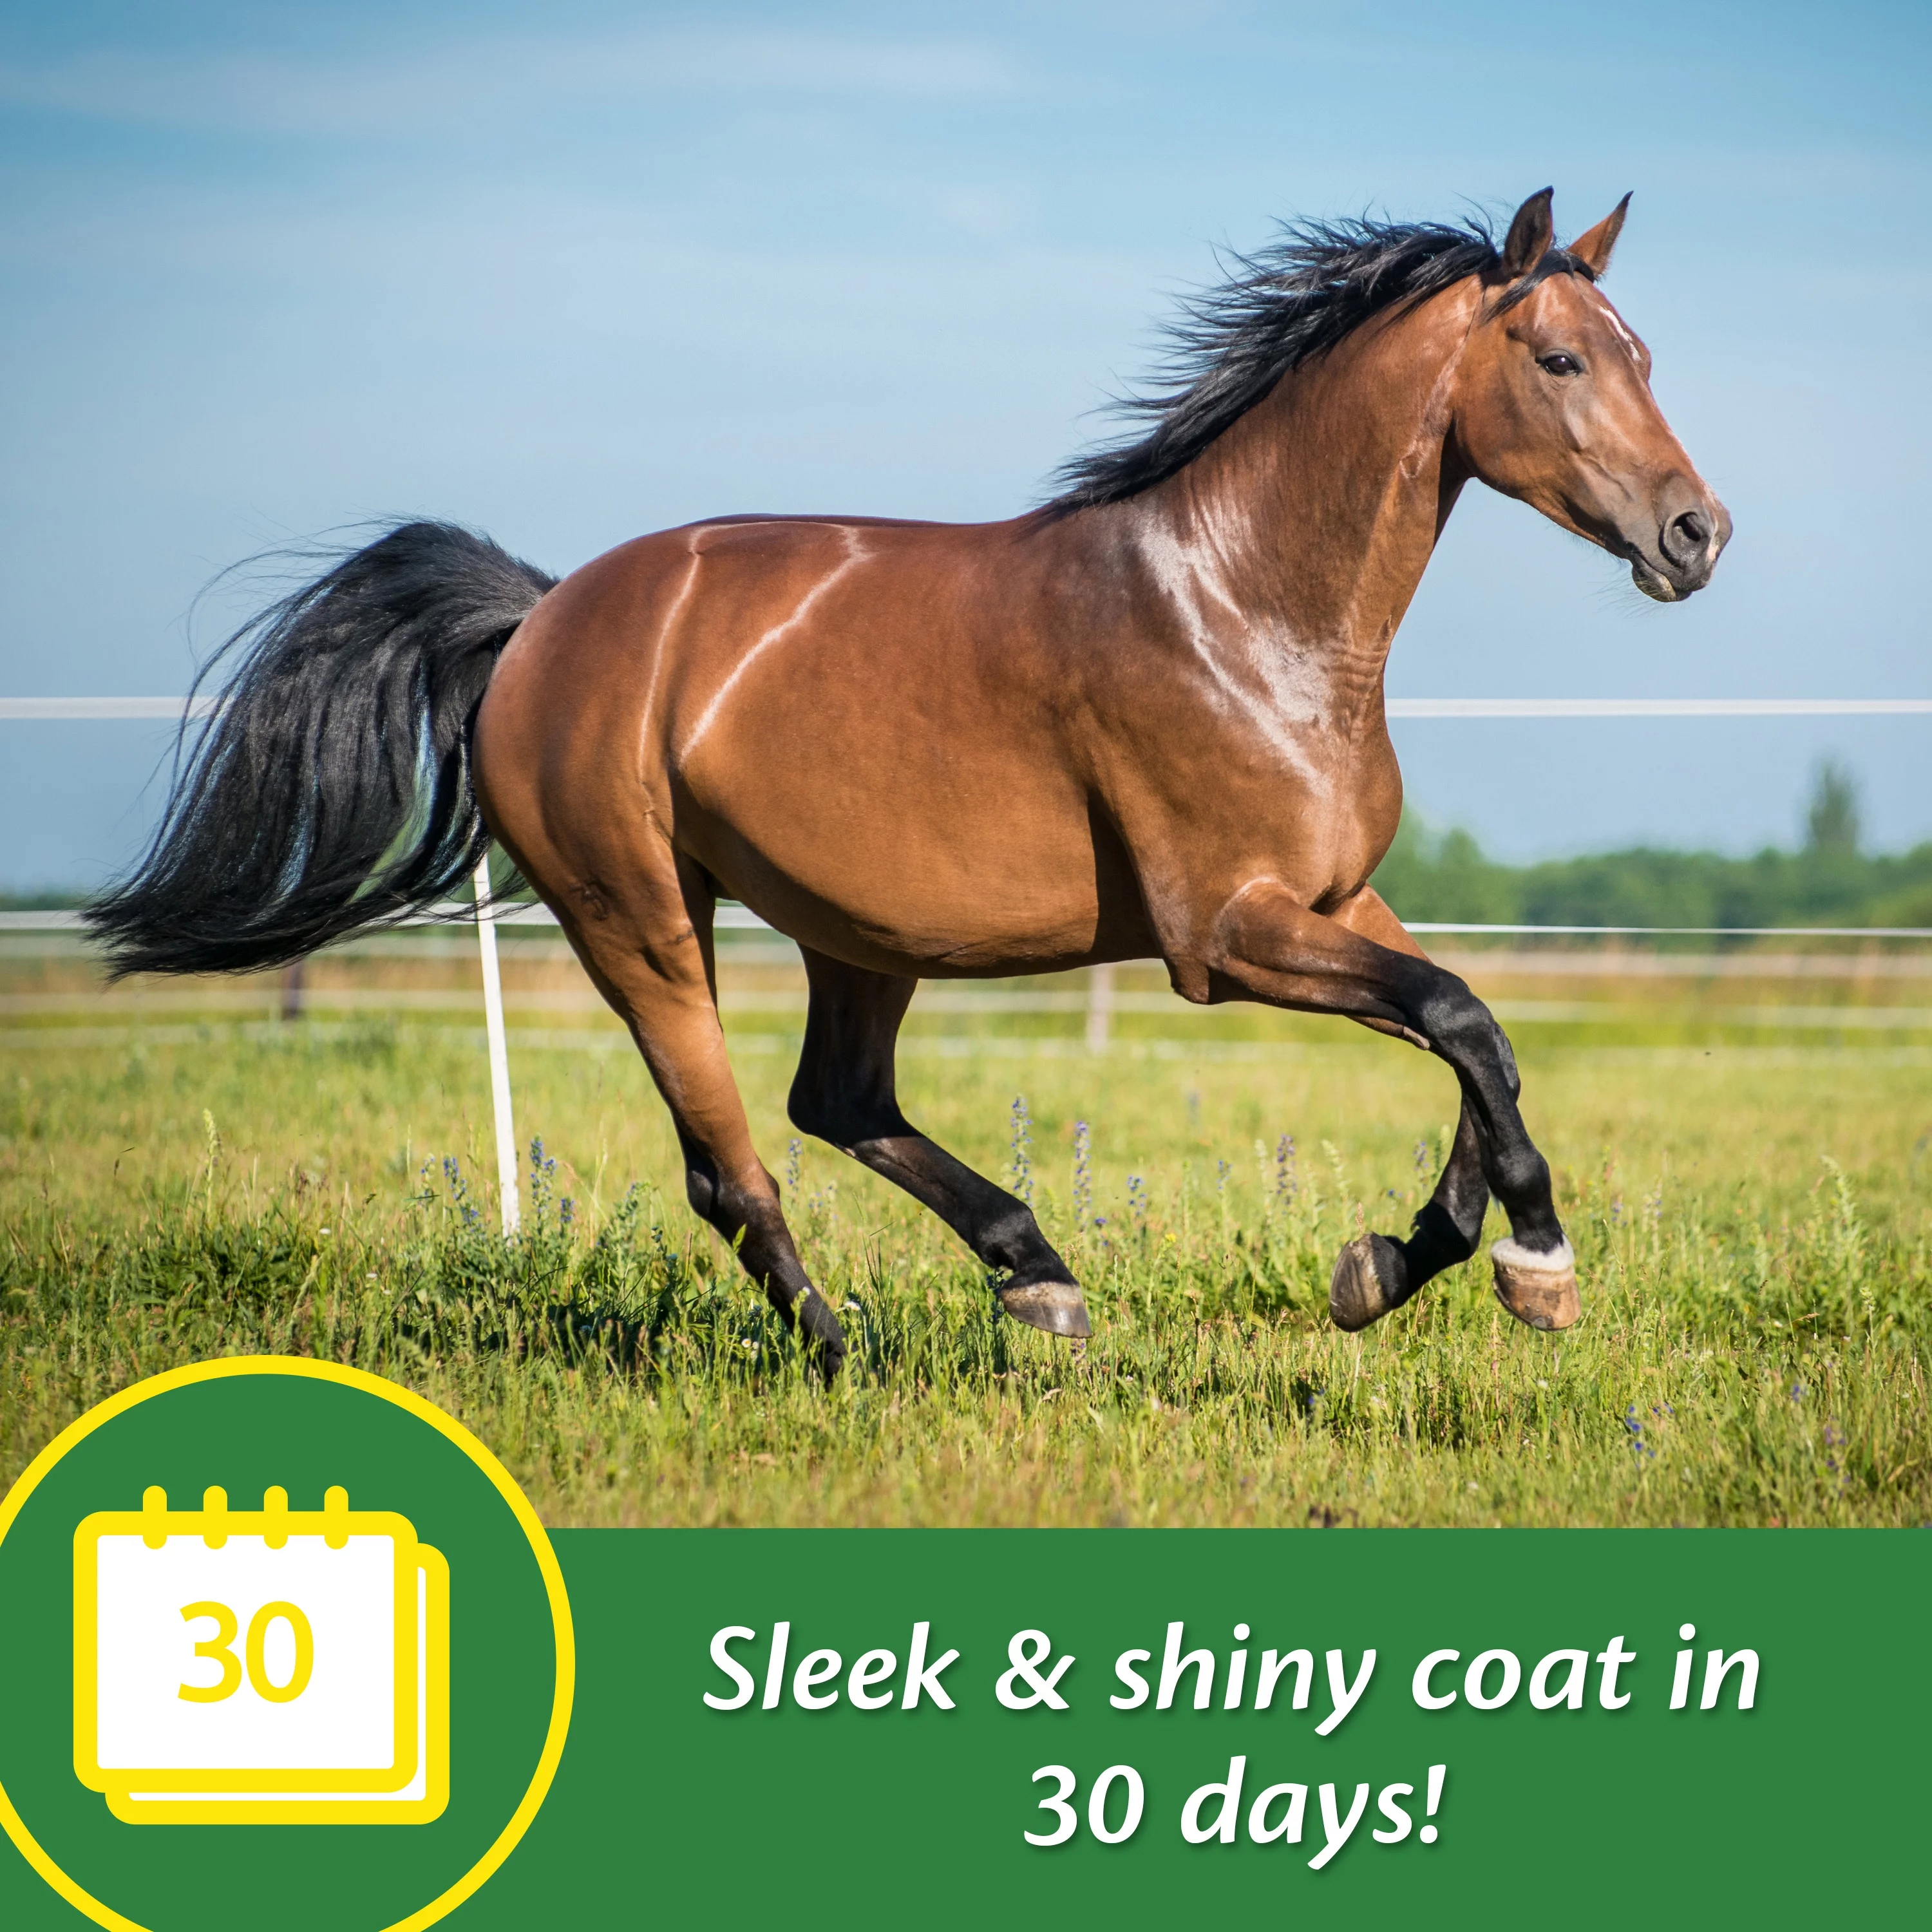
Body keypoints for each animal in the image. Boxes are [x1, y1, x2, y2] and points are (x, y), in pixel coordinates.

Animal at [92, 188, 1729, 1377]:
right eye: (1561, 359)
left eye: (1645, 356)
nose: (1696, 532)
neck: (1244, 607)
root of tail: (543, 619)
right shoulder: (1225, 934)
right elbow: (1461, 1020)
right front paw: (1531, 1266)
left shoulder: (1336, 899)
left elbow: (1476, 1039)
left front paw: (1396, 1263)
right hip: (638, 920)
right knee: (732, 1165)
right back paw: (847, 1352)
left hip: (857, 932)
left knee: (837, 1101)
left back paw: (1037, 1281)